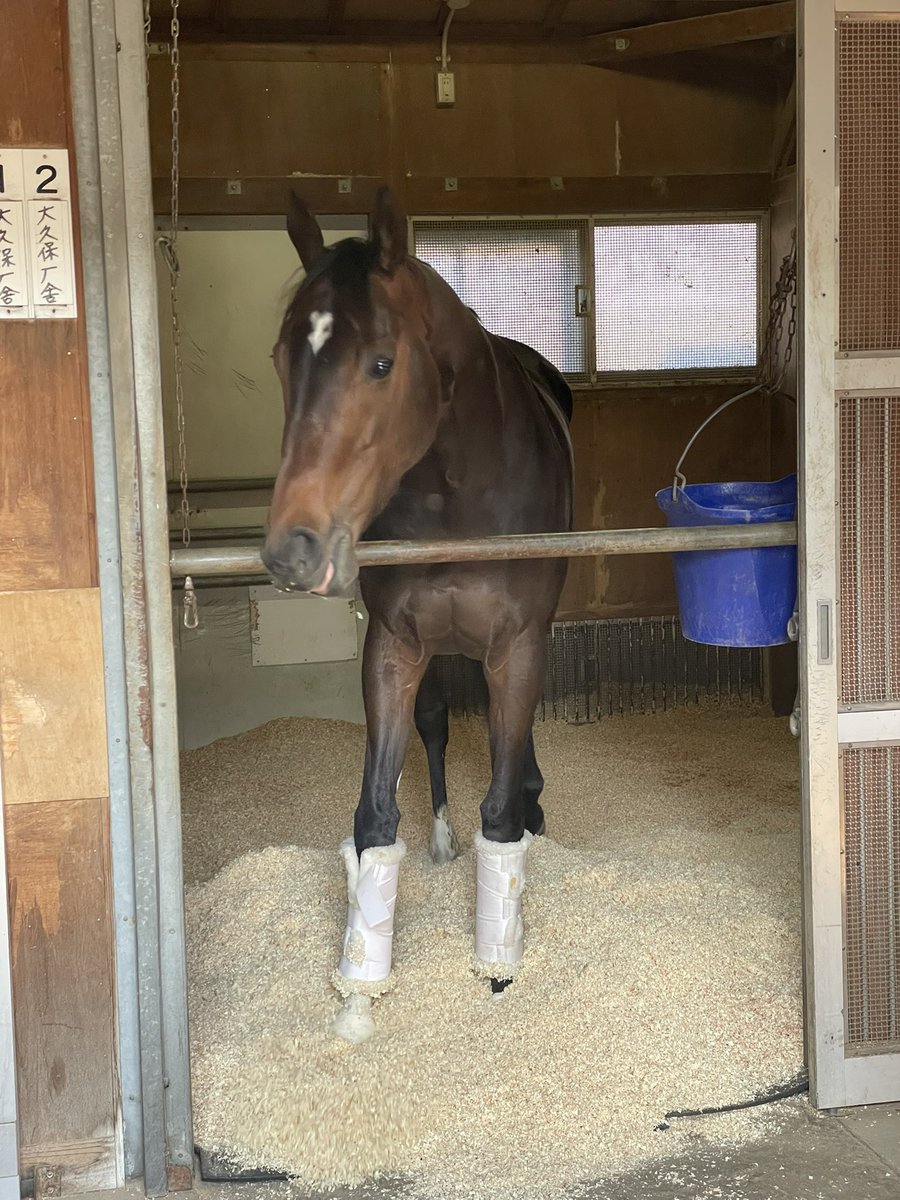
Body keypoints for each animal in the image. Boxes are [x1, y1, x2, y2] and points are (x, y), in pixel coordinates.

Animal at [262, 187, 573, 1031]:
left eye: (380, 362)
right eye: (281, 358)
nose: (292, 548)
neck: (459, 488)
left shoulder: (519, 644)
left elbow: (499, 804)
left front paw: (498, 963)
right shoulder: (396, 646)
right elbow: (374, 814)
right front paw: (359, 986)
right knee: (435, 729)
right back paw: (439, 839)